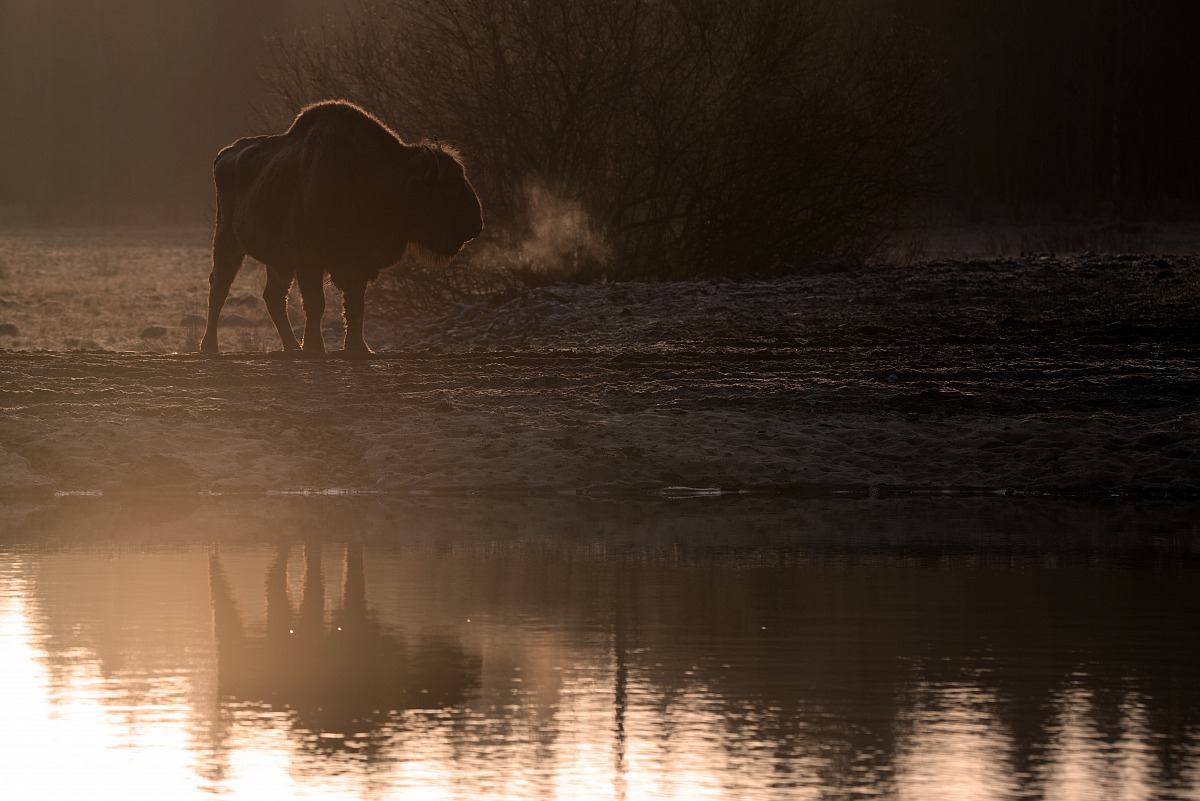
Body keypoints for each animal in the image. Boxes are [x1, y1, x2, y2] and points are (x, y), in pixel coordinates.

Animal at [200, 100, 483, 354]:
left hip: (278, 261)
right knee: (220, 288)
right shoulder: (308, 261)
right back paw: (210, 346)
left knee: (274, 297)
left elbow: (355, 306)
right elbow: (317, 304)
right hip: (227, 240)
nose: (476, 224)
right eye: (451, 187)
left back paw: (291, 346)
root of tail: (225, 154)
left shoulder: (358, 263)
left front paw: (359, 348)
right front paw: (315, 347)